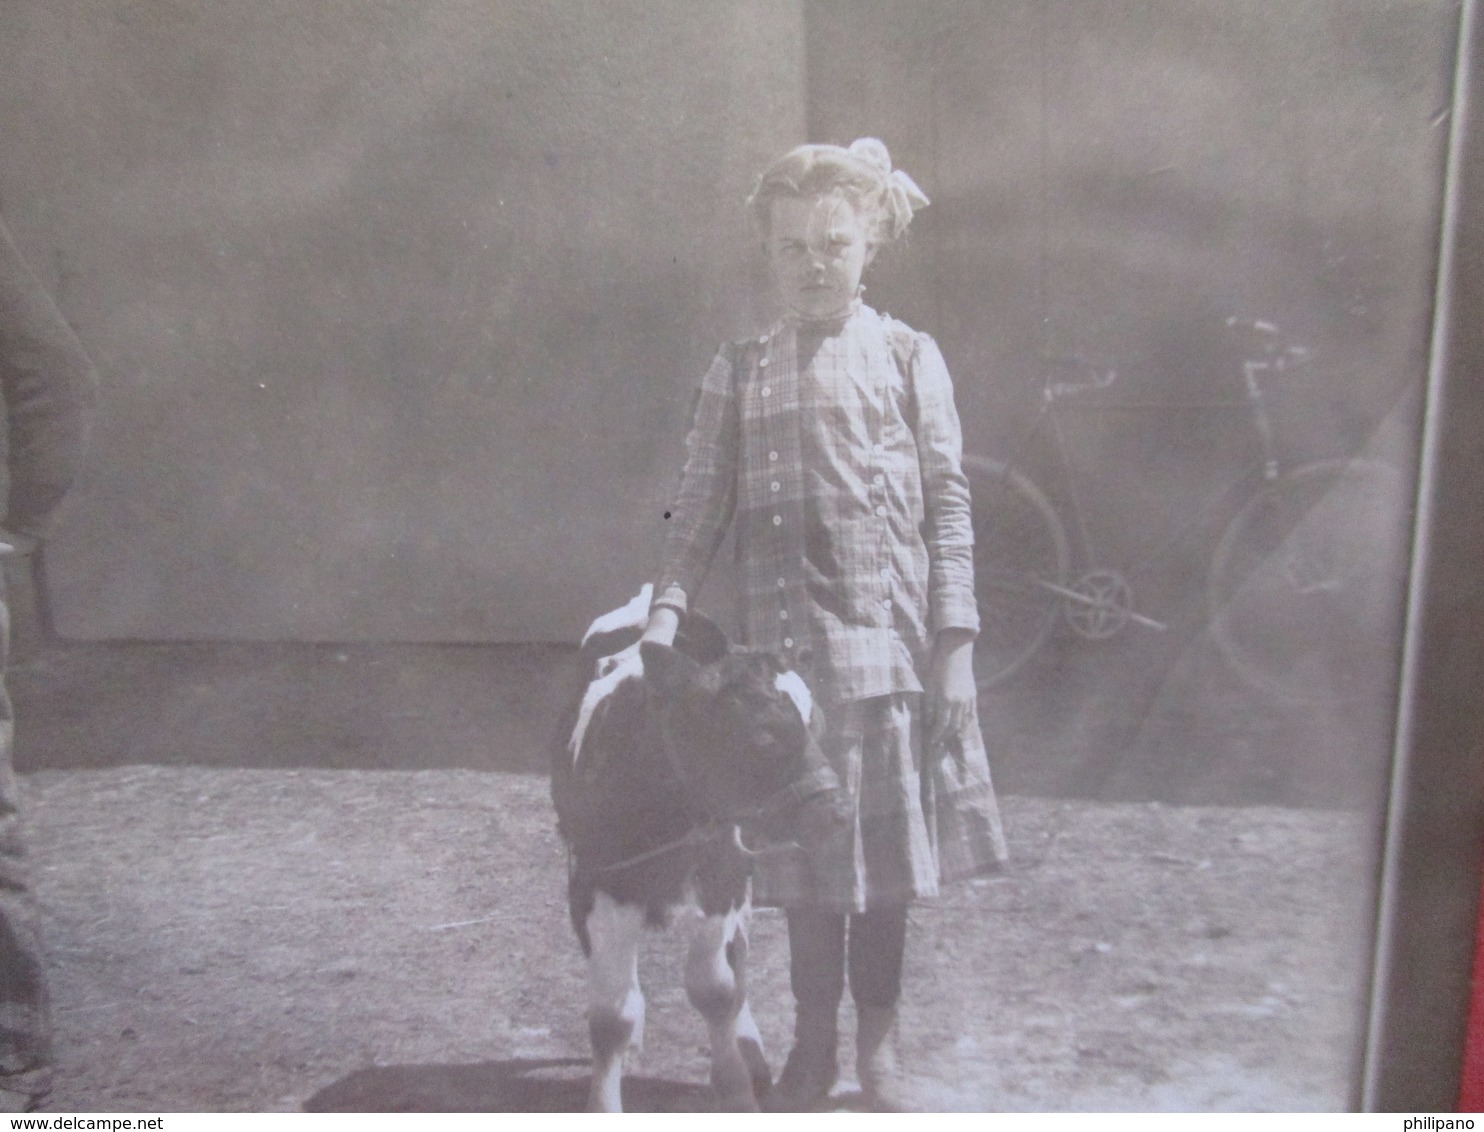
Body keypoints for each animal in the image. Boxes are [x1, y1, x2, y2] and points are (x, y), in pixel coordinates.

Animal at [552, 593, 848, 1115]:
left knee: (739, 959)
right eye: (762, 737)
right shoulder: (595, 885)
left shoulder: (722, 873)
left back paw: (752, 1052)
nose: (837, 812)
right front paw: (605, 1101)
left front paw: (736, 1089)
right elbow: (609, 1015)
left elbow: (717, 988)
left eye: (816, 722)